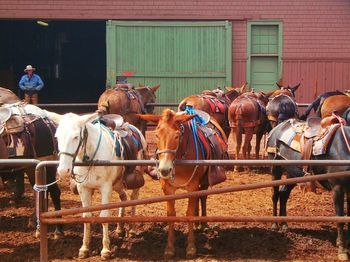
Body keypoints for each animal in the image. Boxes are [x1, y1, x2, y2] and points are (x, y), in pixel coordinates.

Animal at [48, 112, 147, 260]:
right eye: (57, 137)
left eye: (76, 136)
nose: (63, 170)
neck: (91, 156)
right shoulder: (83, 188)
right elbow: (86, 216)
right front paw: (84, 248)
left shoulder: (105, 188)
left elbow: (104, 215)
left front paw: (105, 250)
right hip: (117, 183)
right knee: (123, 198)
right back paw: (120, 228)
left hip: (133, 182)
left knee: (133, 200)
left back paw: (132, 229)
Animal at [138, 108, 228, 258]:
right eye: (156, 135)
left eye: (177, 135)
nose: (164, 169)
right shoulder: (167, 188)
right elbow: (171, 214)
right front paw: (169, 248)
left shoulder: (192, 186)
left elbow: (189, 213)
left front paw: (191, 247)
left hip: (203, 181)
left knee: (202, 197)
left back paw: (203, 224)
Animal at [268, 118, 350, 260]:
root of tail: (277, 127)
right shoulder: (338, 188)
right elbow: (340, 218)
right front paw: (342, 249)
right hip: (276, 167)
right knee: (275, 194)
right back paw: (274, 224)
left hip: (293, 174)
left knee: (283, 194)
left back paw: (284, 225)